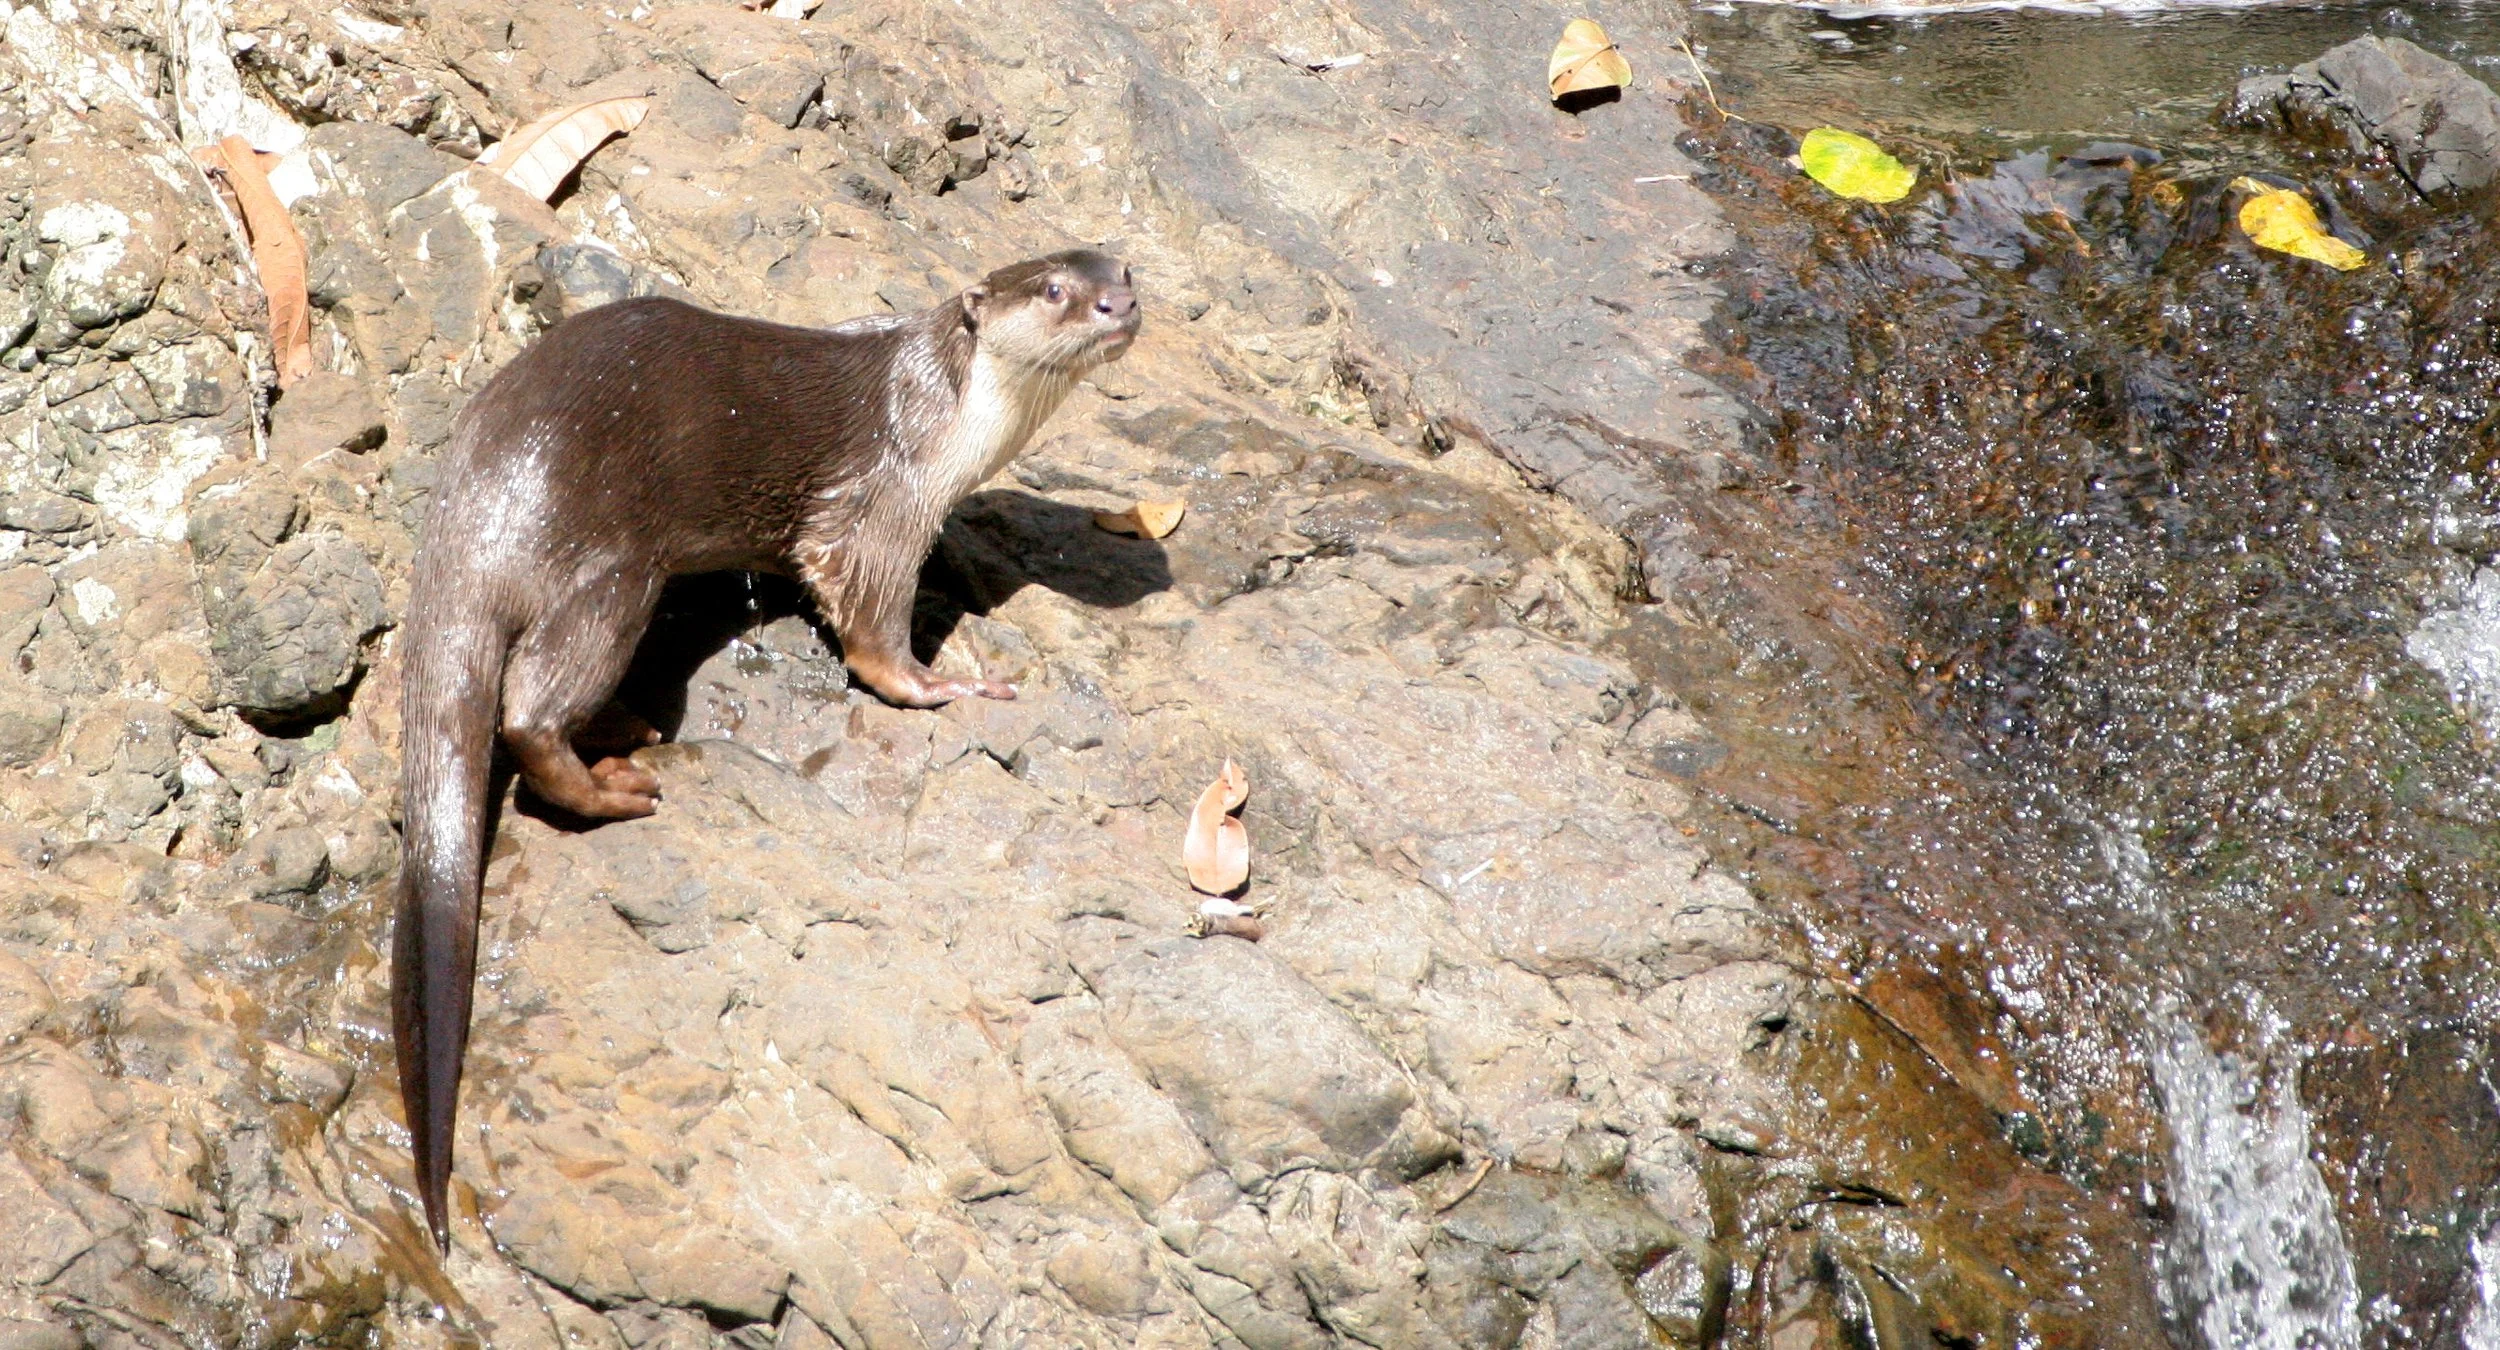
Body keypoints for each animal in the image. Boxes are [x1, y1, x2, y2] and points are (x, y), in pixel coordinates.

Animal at [393, 249, 1140, 1250]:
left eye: (1122, 268)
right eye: (1056, 289)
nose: (1117, 303)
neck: (945, 405)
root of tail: (480, 500)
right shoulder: (885, 503)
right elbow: (870, 626)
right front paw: (942, 684)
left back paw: (622, 730)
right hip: (614, 562)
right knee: (527, 709)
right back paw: (614, 784)